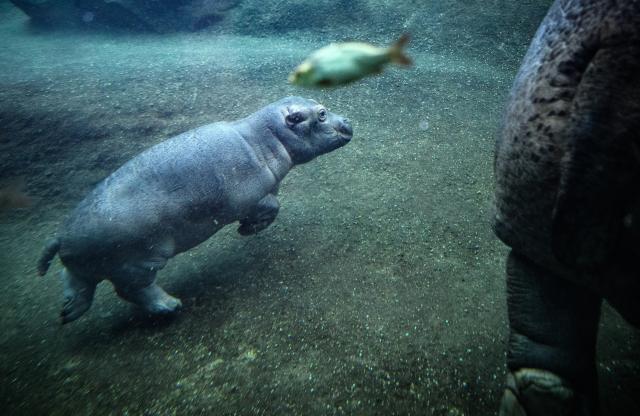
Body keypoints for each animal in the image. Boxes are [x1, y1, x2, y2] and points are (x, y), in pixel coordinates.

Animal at [37, 96, 353, 324]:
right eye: (321, 113)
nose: (348, 120)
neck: (265, 138)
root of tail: (61, 238)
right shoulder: (252, 196)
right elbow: (273, 206)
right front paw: (246, 230)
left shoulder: (266, 188)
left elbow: (271, 206)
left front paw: (249, 227)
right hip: (139, 261)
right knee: (132, 289)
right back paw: (170, 306)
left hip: (88, 265)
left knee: (75, 283)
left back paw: (68, 312)